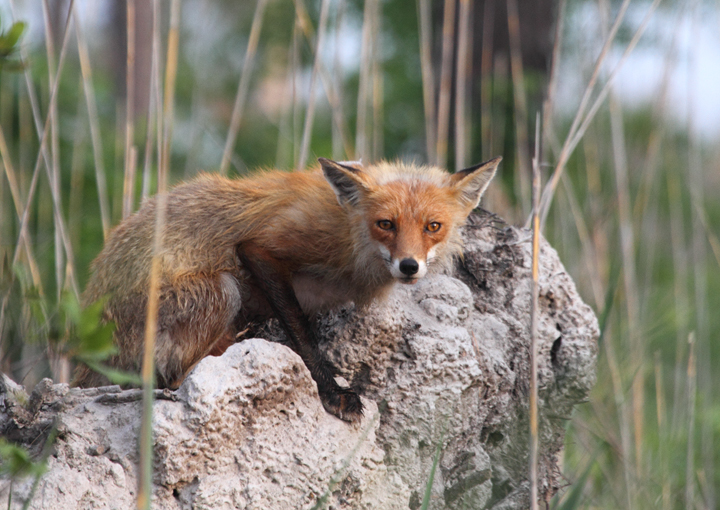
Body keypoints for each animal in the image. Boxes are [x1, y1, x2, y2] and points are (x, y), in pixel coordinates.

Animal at [74, 157, 500, 420]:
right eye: (386, 224)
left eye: (433, 227)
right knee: (174, 380)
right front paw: (332, 392)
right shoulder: (265, 247)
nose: (409, 266)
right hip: (222, 291)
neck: (348, 234)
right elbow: (303, 335)